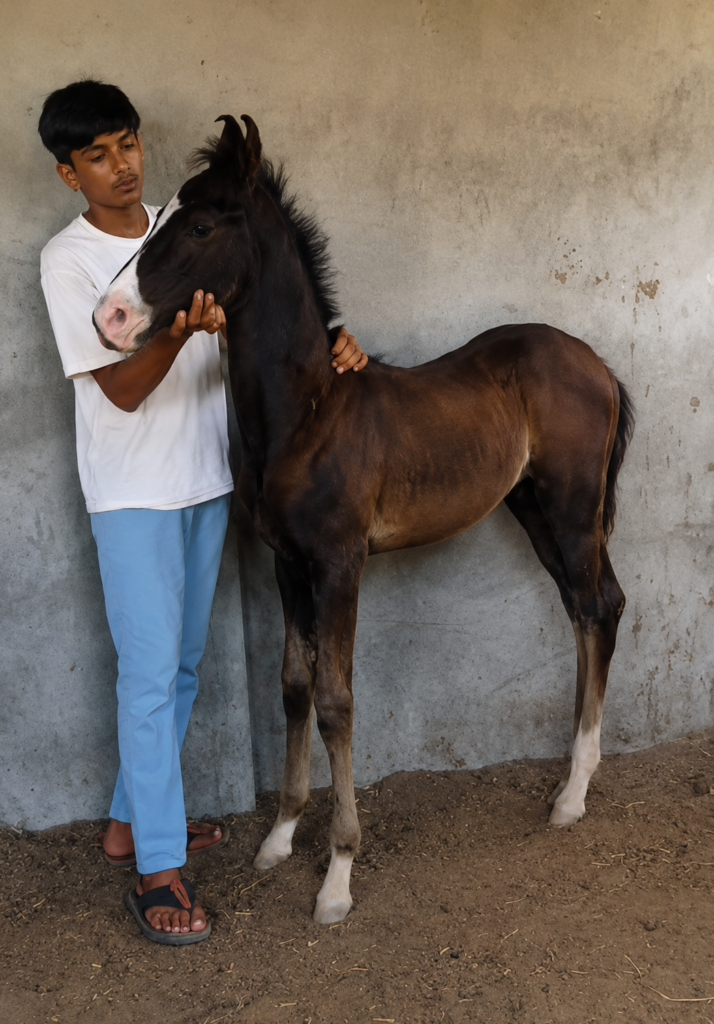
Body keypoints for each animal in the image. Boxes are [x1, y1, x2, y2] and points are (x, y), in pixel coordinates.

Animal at [93, 115, 634, 925]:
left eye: (199, 225)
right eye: (156, 219)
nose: (109, 317)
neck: (305, 417)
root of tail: (594, 362)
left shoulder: (341, 563)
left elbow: (336, 701)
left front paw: (337, 877)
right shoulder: (287, 562)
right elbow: (293, 685)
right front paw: (279, 838)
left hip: (571, 509)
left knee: (598, 606)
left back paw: (571, 795)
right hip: (534, 508)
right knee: (586, 609)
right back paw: (574, 776)